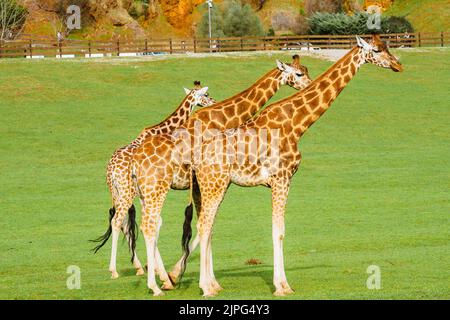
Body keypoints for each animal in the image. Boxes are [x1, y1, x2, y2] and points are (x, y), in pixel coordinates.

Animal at [91, 83, 214, 282]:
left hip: (117, 192)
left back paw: (138, 267)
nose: (213, 101)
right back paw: (114, 270)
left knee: (122, 223)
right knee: (117, 221)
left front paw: (154, 267)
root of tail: (111, 171)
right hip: (126, 192)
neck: (160, 130)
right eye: (207, 94)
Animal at [129, 57, 312, 296]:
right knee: (146, 223)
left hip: (144, 191)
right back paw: (158, 279)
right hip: (151, 189)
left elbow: (208, 228)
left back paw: (155, 275)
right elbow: (205, 228)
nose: (310, 85)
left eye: (305, 70)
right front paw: (186, 277)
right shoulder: (210, 183)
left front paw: (201, 280)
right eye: (299, 74)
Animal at [173, 33, 404, 296]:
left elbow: (277, 230)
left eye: (387, 46)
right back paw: (204, 286)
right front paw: (282, 286)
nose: (398, 65)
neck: (297, 125)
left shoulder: (280, 180)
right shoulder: (282, 178)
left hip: (210, 187)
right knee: (204, 226)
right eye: (377, 50)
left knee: (206, 226)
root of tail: (196, 157)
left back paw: (203, 282)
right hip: (215, 184)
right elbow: (279, 231)